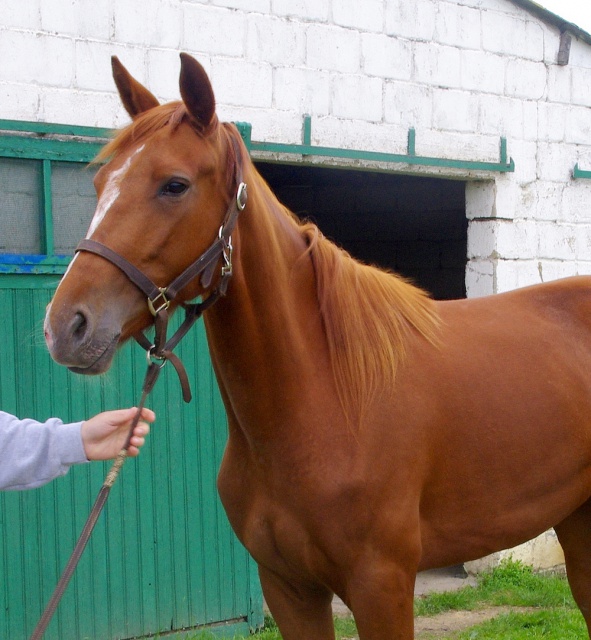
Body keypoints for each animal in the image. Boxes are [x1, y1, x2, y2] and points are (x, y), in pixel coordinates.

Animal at [44, 55, 591, 640]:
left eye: (175, 185)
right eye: (100, 182)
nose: (66, 327)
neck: (323, 397)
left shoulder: (381, 587)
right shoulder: (288, 588)